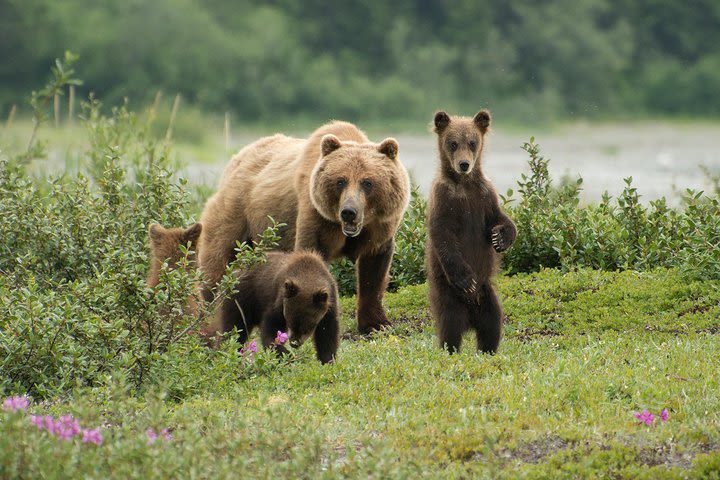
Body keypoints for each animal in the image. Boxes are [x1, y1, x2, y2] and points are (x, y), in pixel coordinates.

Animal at [197, 122, 410, 334]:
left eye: (367, 182)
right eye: (340, 181)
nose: (349, 212)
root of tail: (237, 157)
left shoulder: (379, 227)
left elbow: (374, 270)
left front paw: (376, 323)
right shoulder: (316, 215)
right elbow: (311, 256)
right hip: (238, 213)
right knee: (217, 260)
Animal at [424, 110, 516, 354]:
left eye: (473, 142)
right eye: (453, 143)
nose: (464, 164)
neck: (464, 184)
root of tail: (471, 318)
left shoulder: (484, 196)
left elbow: (501, 219)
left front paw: (500, 238)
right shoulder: (444, 200)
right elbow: (444, 237)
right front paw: (466, 279)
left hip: (488, 295)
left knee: (493, 323)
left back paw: (488, 350)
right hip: (448, 293)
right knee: (450, 323)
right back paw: (451, 348)